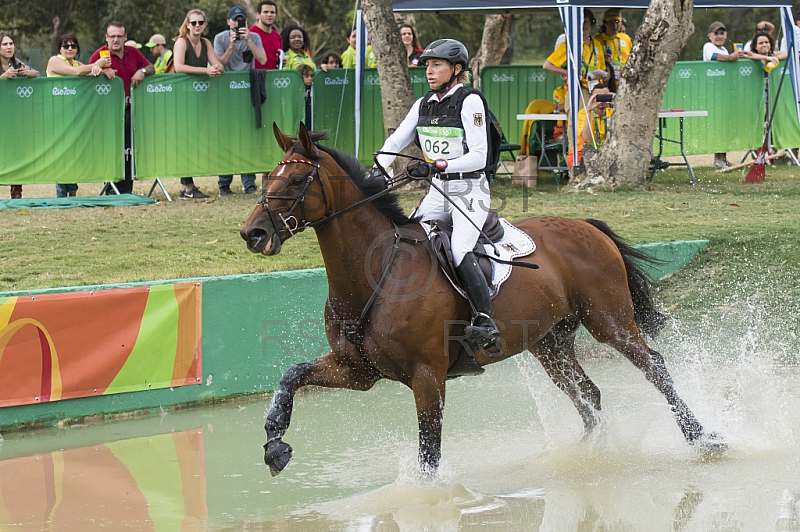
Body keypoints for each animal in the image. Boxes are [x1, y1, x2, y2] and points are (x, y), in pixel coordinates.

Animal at [241, 125, 720, 478]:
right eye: (268, 177)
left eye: (297, 180)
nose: (253, 233)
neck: (376, 273)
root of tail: (587, 226)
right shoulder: (357, 371)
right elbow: (291, 376)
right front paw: (274, 445)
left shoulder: (427, 377)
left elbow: (429, 455)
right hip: (549, 343)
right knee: (589, 393)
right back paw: (587, 455)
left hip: (610, 322)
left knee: (653, 366)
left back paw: (704, 438)